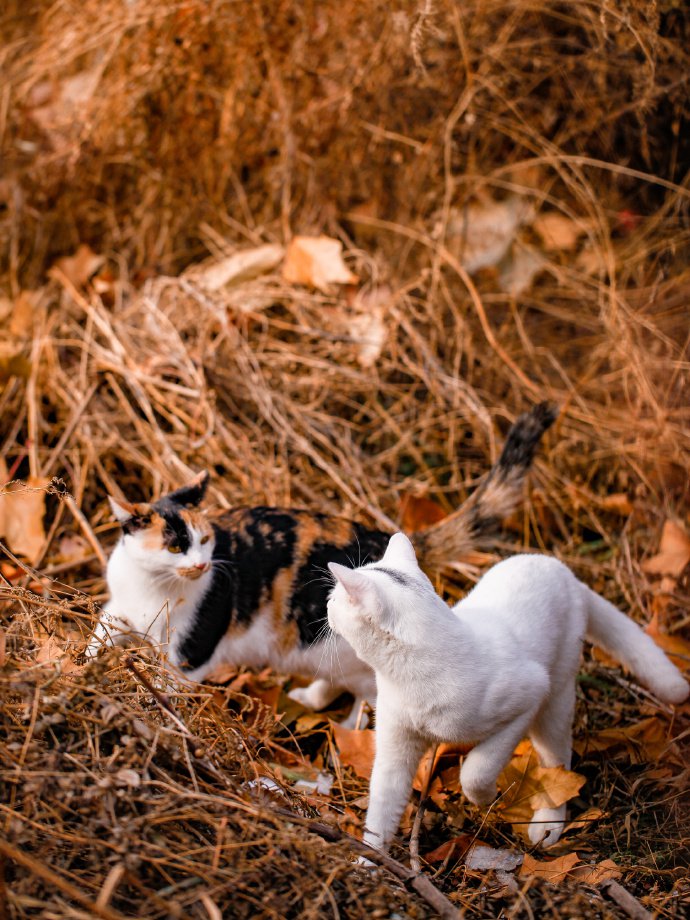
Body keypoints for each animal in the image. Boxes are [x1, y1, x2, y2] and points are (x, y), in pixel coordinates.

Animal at [88, 402, 556, 724]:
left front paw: (159, 711)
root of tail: (384, 538)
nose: (204, 566)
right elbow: (99, 633)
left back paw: (349, 732)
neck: (151, 588)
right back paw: (307, 700)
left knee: (369, 693)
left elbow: (171, 684)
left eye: (204, 540)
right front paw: (80, 666)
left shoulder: (193, 647)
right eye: (175, 547)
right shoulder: (119, 610)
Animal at [326, 536, 684, 852]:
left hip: (554, 701)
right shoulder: (395, 746)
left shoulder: (528, 696)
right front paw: (370, 863)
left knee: (557, 762)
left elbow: (476, 771)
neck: (408, 679)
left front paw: (487, 798)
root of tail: (561, 569)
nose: (326, 602)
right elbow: (381, 809)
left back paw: (548, 824)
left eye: (335, 597)